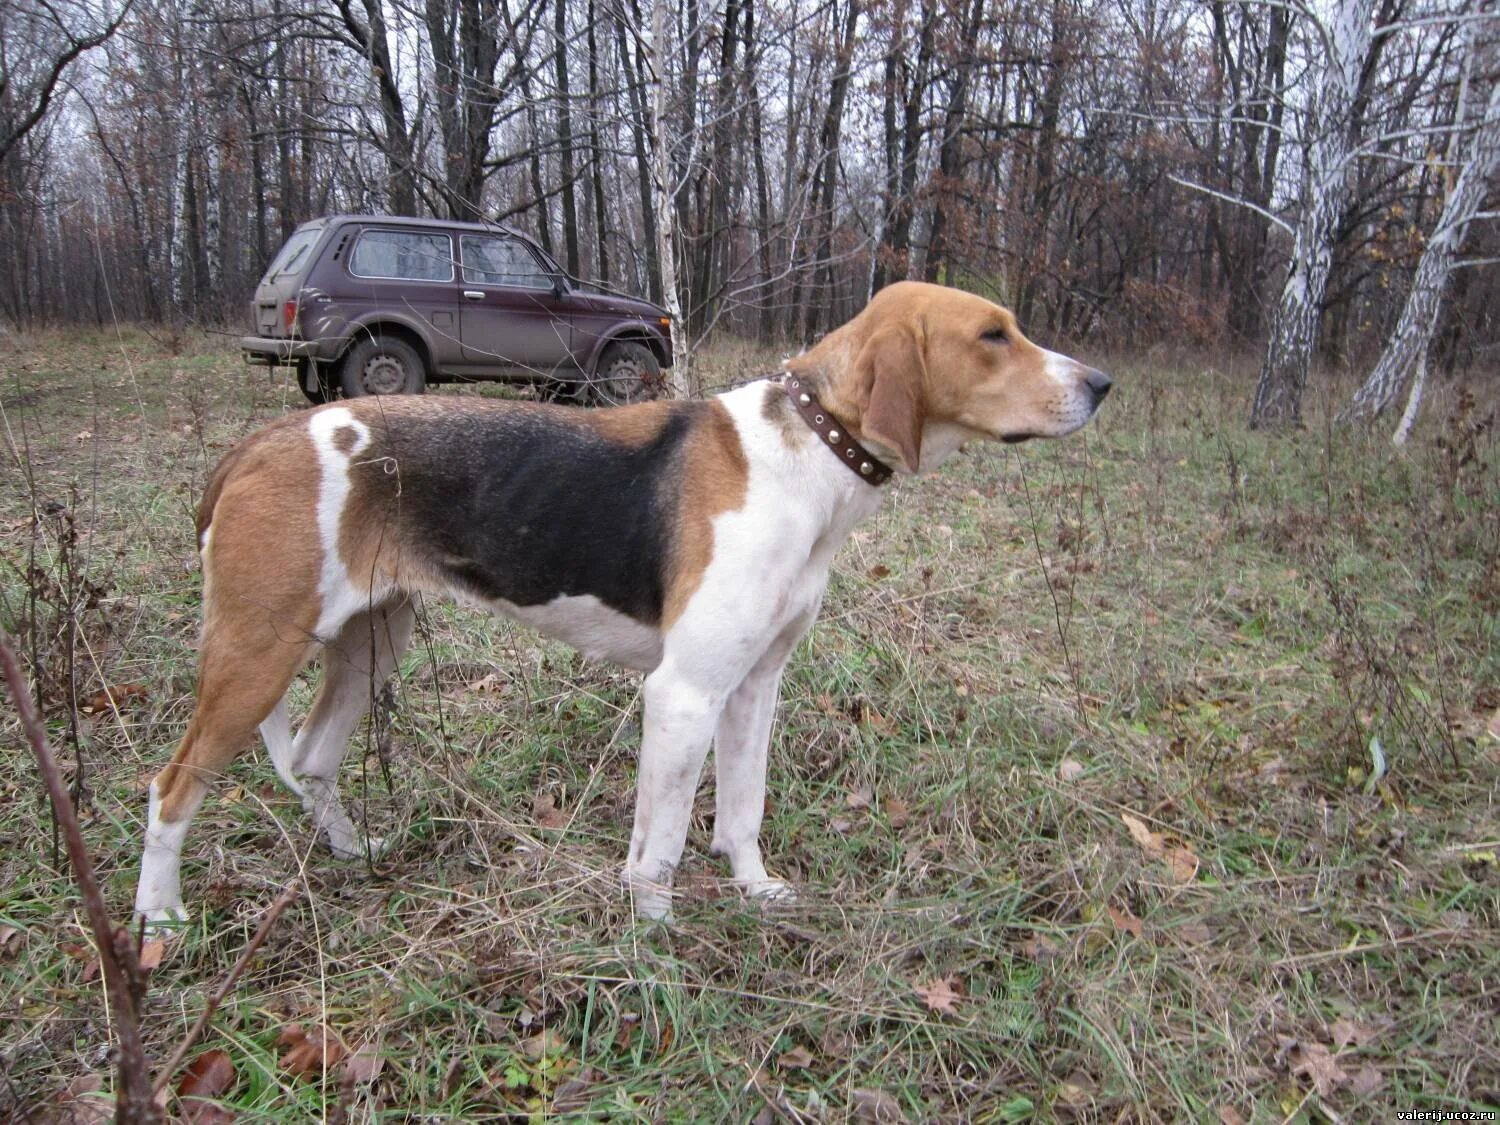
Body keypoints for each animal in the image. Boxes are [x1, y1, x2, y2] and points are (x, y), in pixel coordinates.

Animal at [132, 280, 1116, 924]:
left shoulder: (750, 688)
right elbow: (667, 838)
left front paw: (753, 890)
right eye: (994, 335)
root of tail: (257, 445)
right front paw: (656, 935)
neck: (811, 448)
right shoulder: (682, 693)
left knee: (312, 760)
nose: (1102, 384)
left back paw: (350, 853)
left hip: (371, 640)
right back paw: (159, 920)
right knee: (171, 788)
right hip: (257, 653)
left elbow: (737, 808)